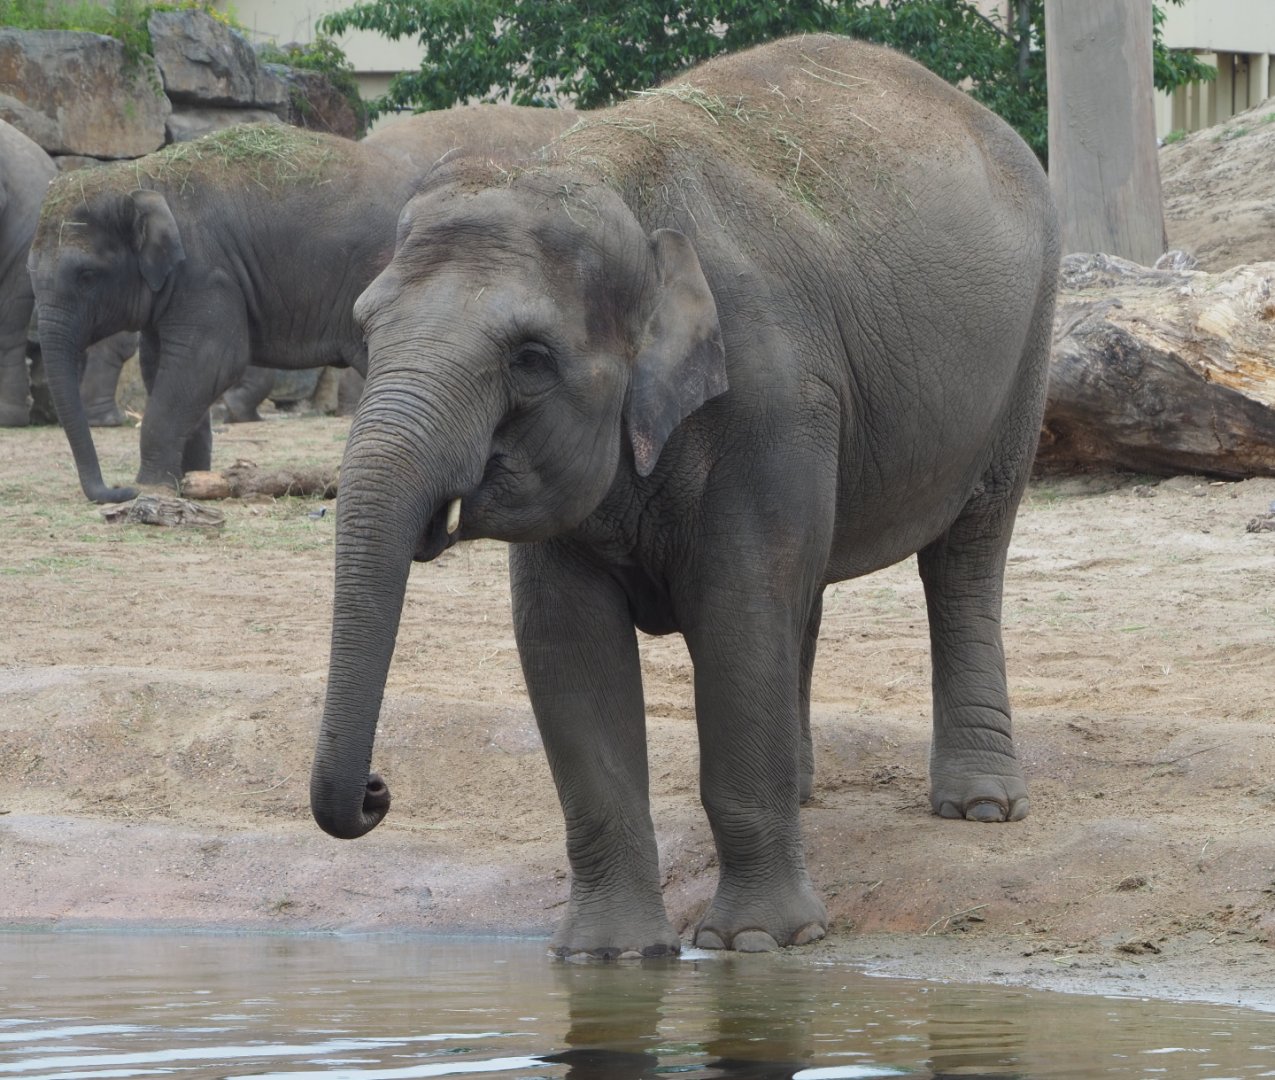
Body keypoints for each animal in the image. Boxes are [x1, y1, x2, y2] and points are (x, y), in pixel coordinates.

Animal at [26, 106, 576, 502]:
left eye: (86, 275)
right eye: (31, 273)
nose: (111, 492)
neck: (145, 176)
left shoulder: (208, 273)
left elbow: (209, 361)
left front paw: (152, 488)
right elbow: (161, 363)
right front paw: (192, 479)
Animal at [310, 35, 1059, 959]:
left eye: (529, 358)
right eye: (366, 331)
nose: (376, 792)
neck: (606, 178)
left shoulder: (774, 395)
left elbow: (735, 609)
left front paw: (759, 943)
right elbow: (565, 641)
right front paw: (608, 956)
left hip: (1025, 347)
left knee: (964, 553)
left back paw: (980, 806)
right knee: (803, 587)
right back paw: (802, 789)